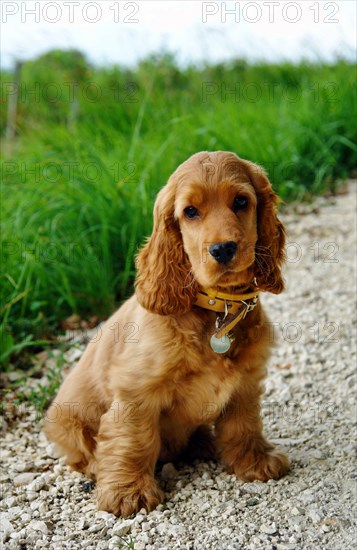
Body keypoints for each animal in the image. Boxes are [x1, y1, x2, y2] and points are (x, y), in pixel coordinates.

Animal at [43, 151, 290, 516]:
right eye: (190, 211)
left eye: (241, 201)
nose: (223, 249)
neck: (216, 310)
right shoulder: (136, 390)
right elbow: (133, 439)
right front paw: (128, 492)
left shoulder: (246, 382)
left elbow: (243, 424)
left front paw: (255, 460)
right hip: (67, 423)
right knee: (82, 452)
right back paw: (97, 467)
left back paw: (203, 441)